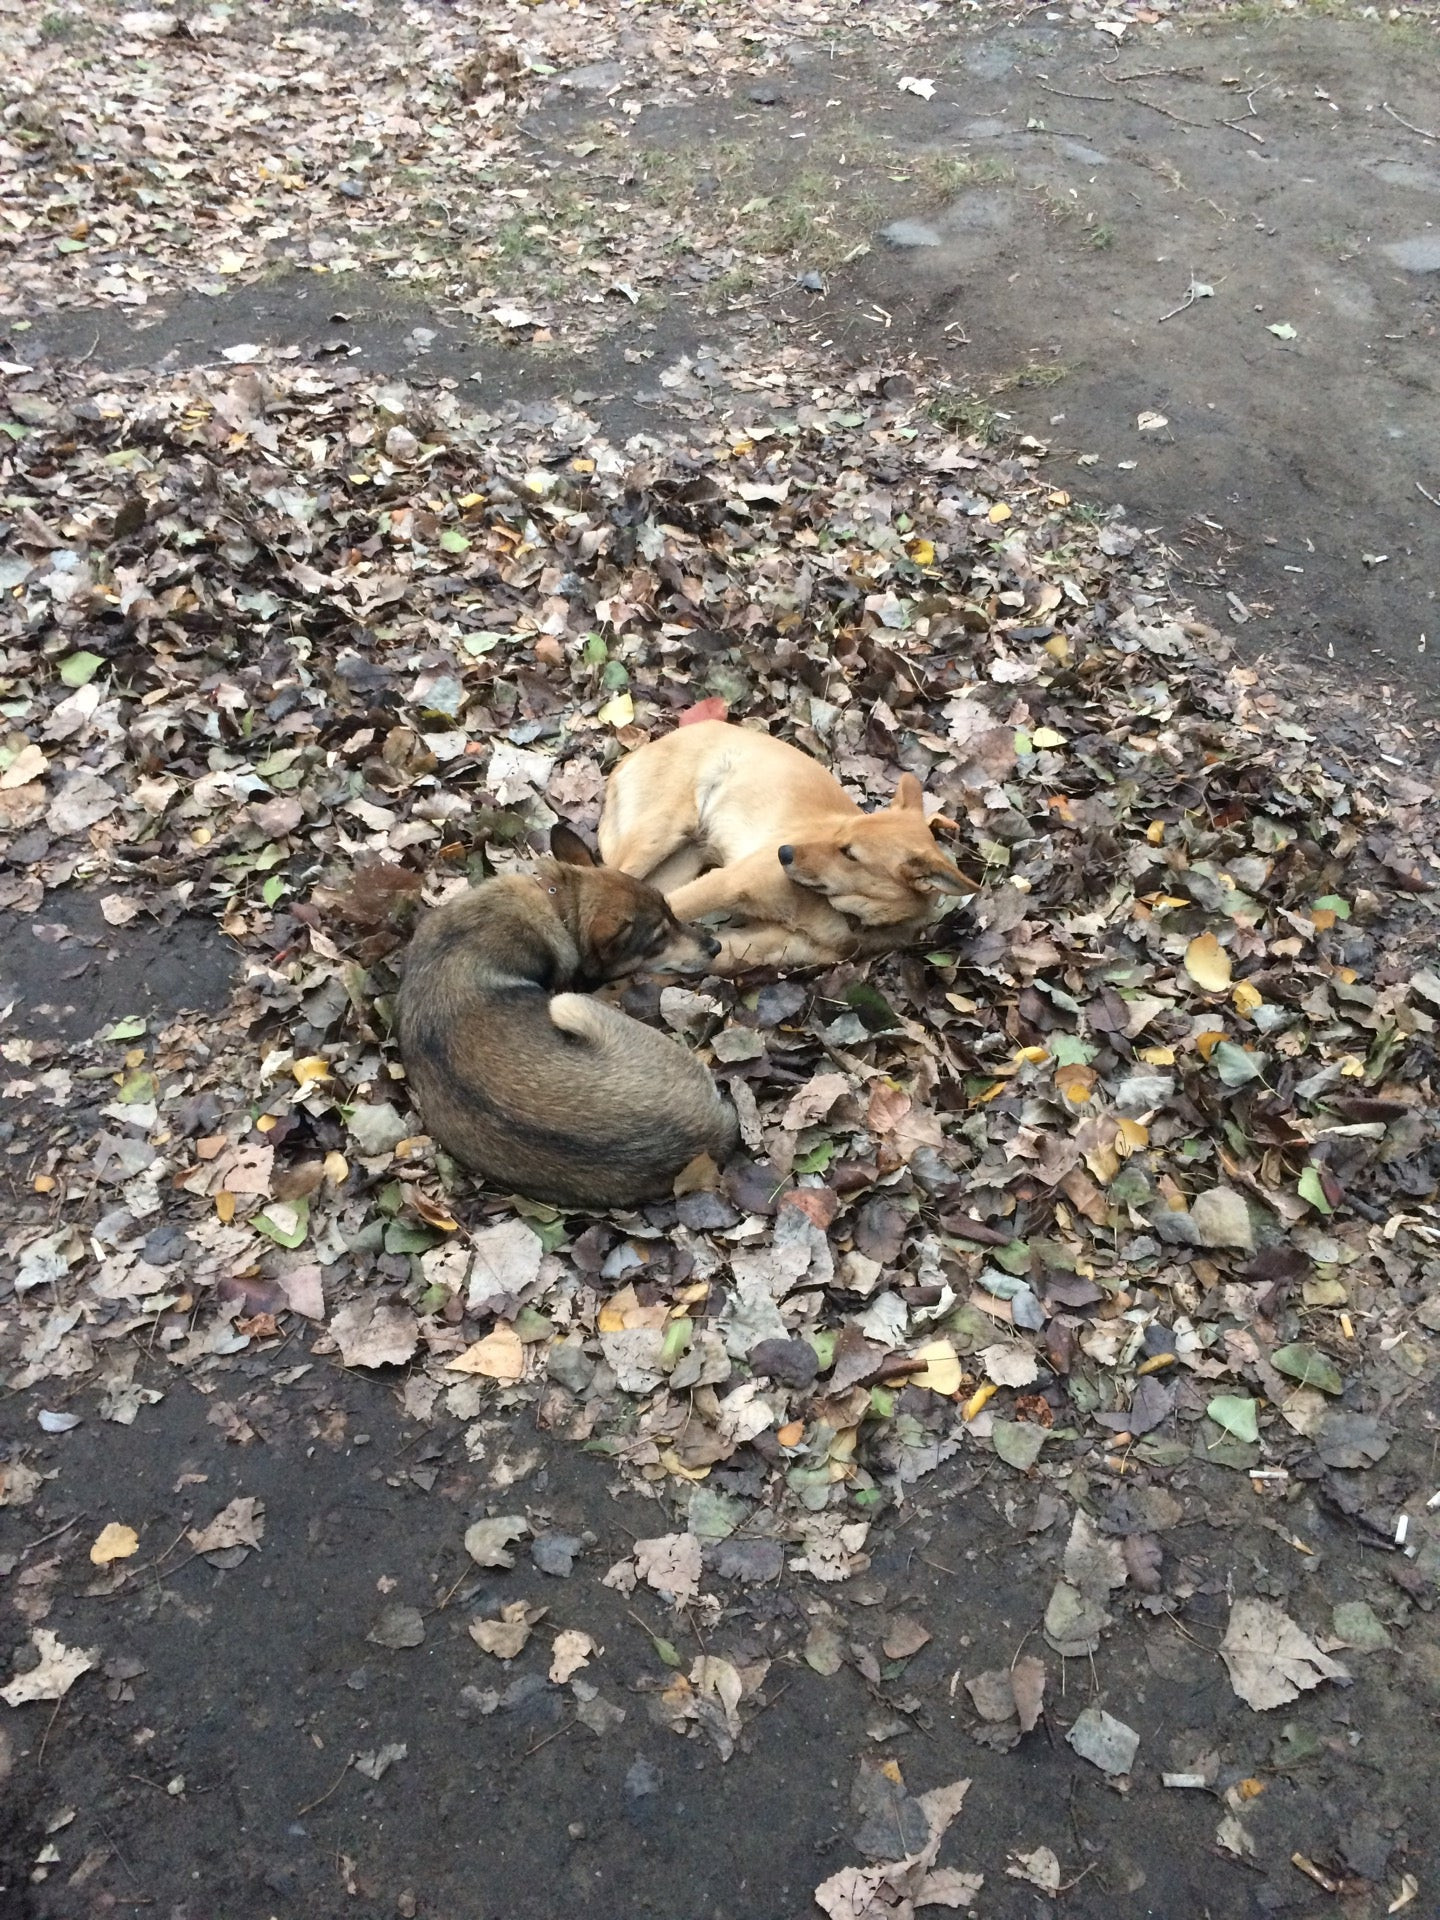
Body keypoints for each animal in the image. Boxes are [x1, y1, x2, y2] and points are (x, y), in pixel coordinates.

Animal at [401, 829, 737, 1205]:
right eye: (659, 939)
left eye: (671, 912)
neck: (556, 902)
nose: (715, 947)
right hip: (569, 1004)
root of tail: (708, 1131)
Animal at [599, 718, 971, 967]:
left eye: (849, 854)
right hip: (659, 834)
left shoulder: (753, 947)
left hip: (679, 863)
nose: (784, 851)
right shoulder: (726, 883)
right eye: (841, 830)